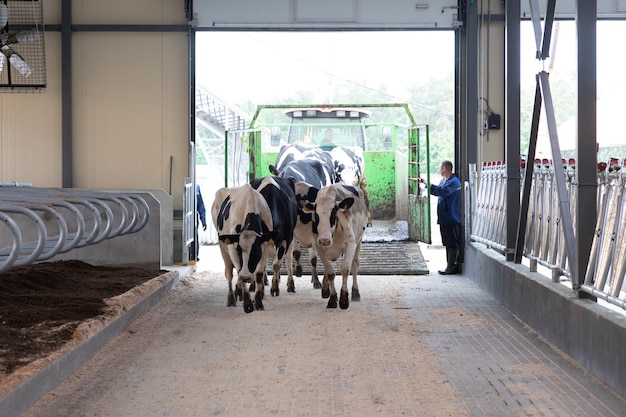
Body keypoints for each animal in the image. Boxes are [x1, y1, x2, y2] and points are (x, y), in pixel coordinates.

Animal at [211, 184, 274, 312]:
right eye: (238, 250)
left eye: (256, 251)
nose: (245, 277)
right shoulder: (232, 248)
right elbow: (238, 270)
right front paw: (248, 303)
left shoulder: (265, 247)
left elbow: (259, 274)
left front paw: (258, 301)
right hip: (223, 248)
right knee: (229, 273)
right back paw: (231, 298)